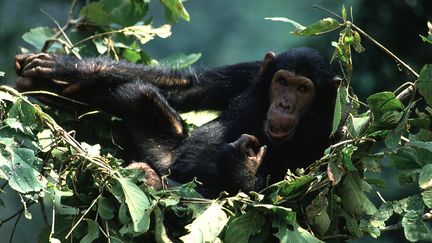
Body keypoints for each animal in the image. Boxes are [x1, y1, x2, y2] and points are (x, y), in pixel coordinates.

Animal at [13, 48, 340, 197]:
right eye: (283, 82)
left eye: (303, 89)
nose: (285, 104)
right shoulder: (251, 72)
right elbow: (189, 87)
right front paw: (73, 68)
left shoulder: (326, 135)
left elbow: (282, 193)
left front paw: (246, 164)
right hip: (167, 156)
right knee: (138, 92)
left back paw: (152, 179)